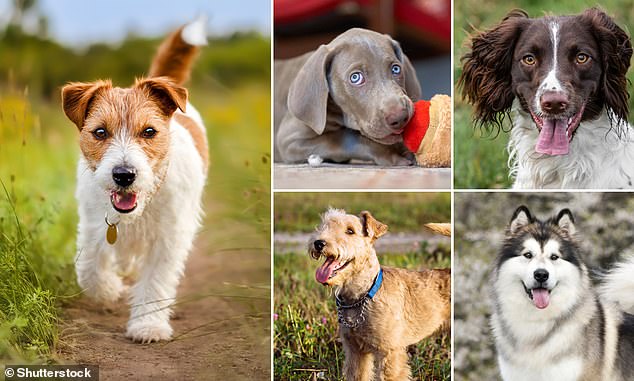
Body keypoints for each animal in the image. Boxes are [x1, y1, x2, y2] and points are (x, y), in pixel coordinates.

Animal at [276, 29, 420, 166]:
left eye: (396, 69)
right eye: (355, 77)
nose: (400, 118)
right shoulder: (288, 141)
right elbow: (346, 137)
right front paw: (389, 153)